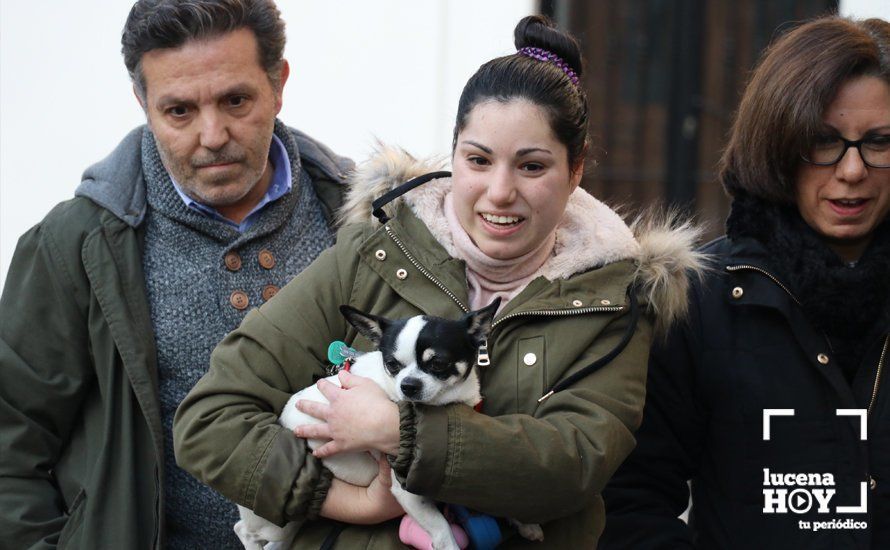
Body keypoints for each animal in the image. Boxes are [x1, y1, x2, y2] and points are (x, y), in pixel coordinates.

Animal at [234, 302, 540, 550]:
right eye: (392, 364)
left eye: (438, 363)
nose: (408, 385)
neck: (444, 405)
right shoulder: (408, 492)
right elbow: (442, 530)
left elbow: (489, 492)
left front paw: (523, 522)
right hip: (275, 520)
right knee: (244, 530)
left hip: (292, 521)